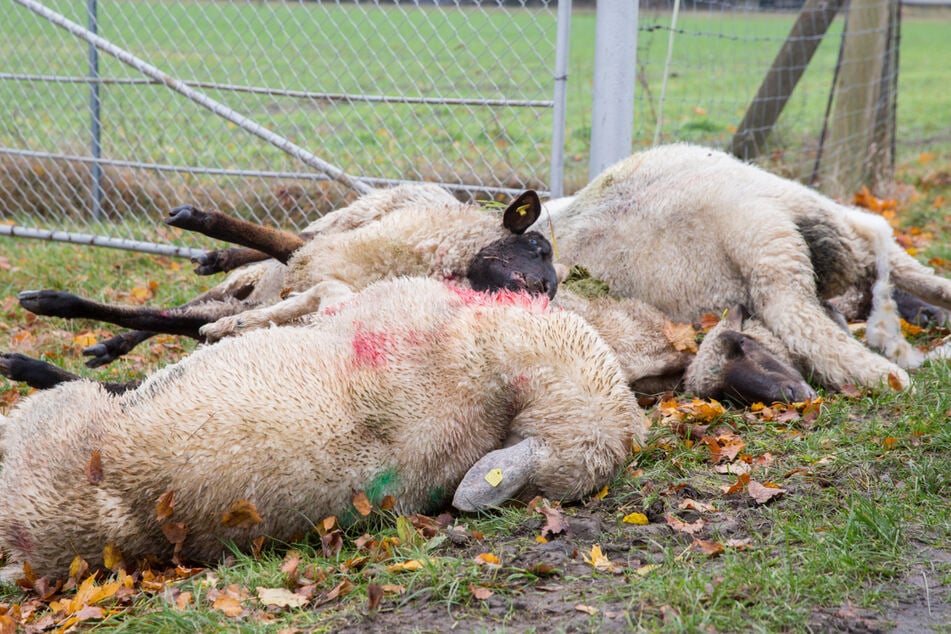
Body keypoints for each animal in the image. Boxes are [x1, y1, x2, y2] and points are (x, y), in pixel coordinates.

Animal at [0, 276, 644, 580]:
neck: (496, 391)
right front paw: (228, 323)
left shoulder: (359, 308)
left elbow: (307, 298)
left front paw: (231, 324)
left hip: (56, 420)